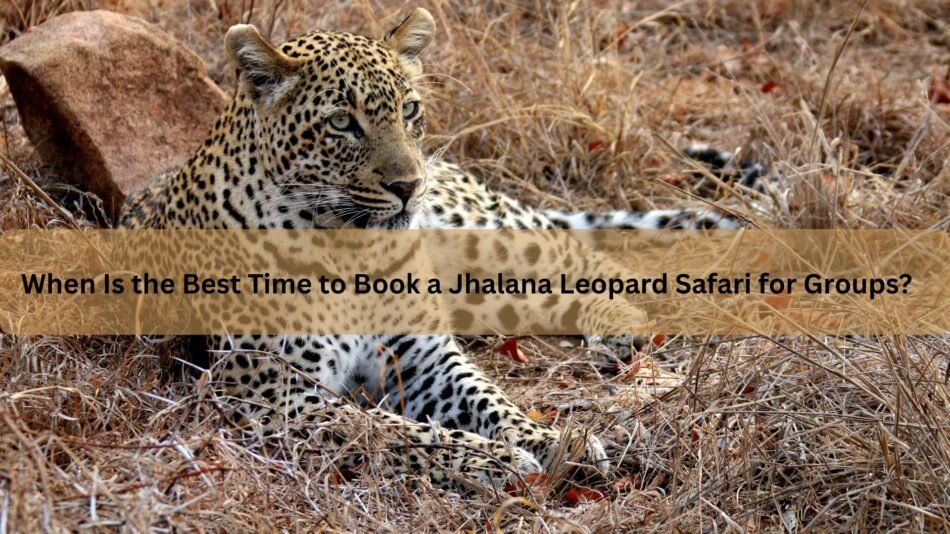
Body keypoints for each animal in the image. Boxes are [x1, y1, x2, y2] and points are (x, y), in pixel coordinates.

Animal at [119, 8, 763, 492]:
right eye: (342, 123)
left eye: (409, 110)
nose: (410, 185)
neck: (345, 250)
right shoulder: (268, 390)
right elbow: (386, 429)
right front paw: (495, 459)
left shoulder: (422, 356)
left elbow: (490, 399)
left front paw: (553, 439)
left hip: (482, 234)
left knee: (577, 255)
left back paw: (619, 329)